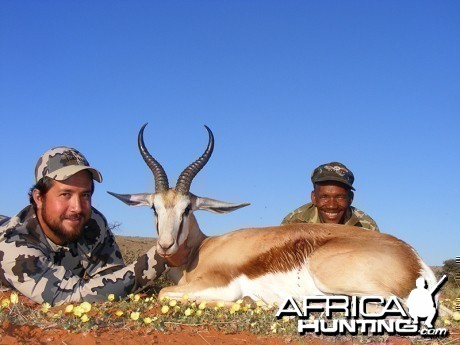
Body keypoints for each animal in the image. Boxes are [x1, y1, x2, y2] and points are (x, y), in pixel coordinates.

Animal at [108, 123, 438, 304]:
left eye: (187, 209)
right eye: (154, 208)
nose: (165, 246)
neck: (201, 251)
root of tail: (413, 260)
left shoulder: (218, 286)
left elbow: (165, 294)